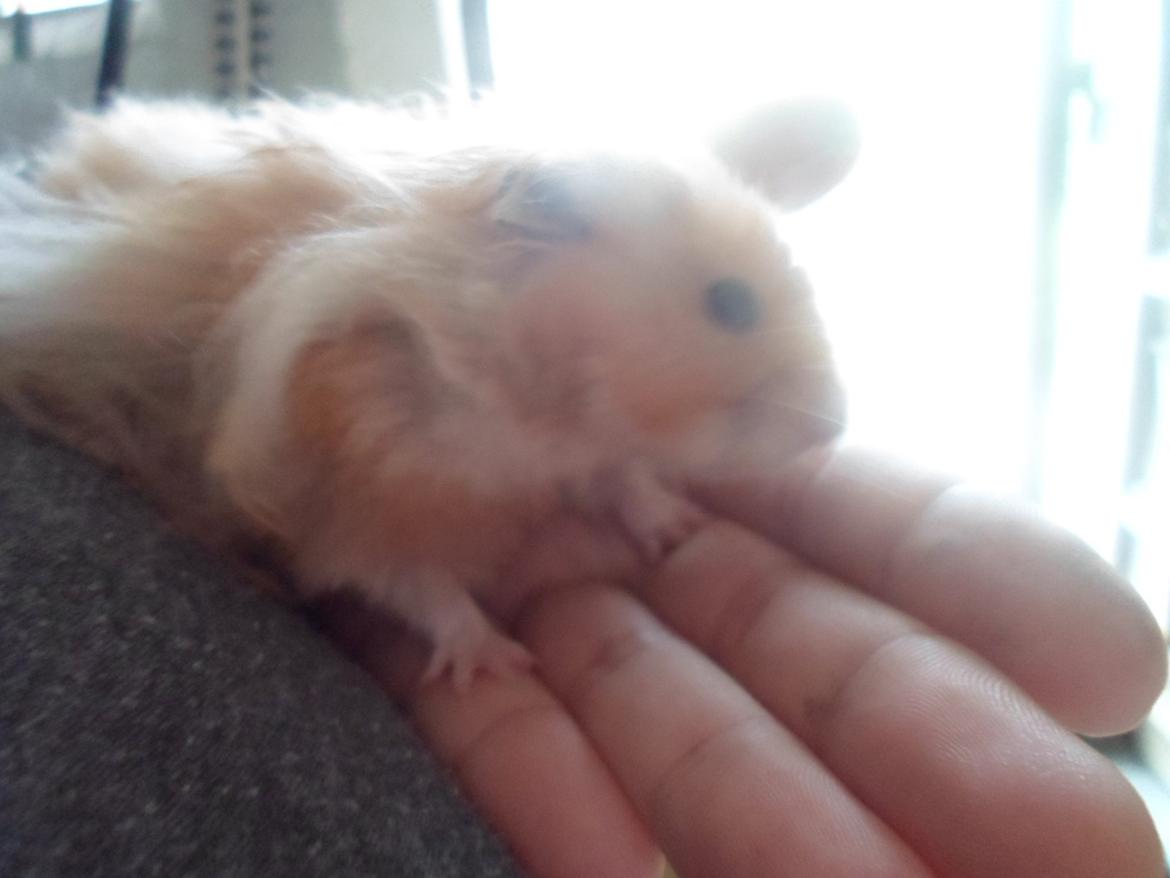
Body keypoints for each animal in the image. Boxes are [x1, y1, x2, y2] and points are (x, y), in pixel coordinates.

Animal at [0, 97, 856, 689]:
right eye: (731, 304)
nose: (835, 427)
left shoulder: (585, 449)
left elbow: (623, 476)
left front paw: (678, 527)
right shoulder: (361, 506)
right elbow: (421, 586)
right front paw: (497, 664)